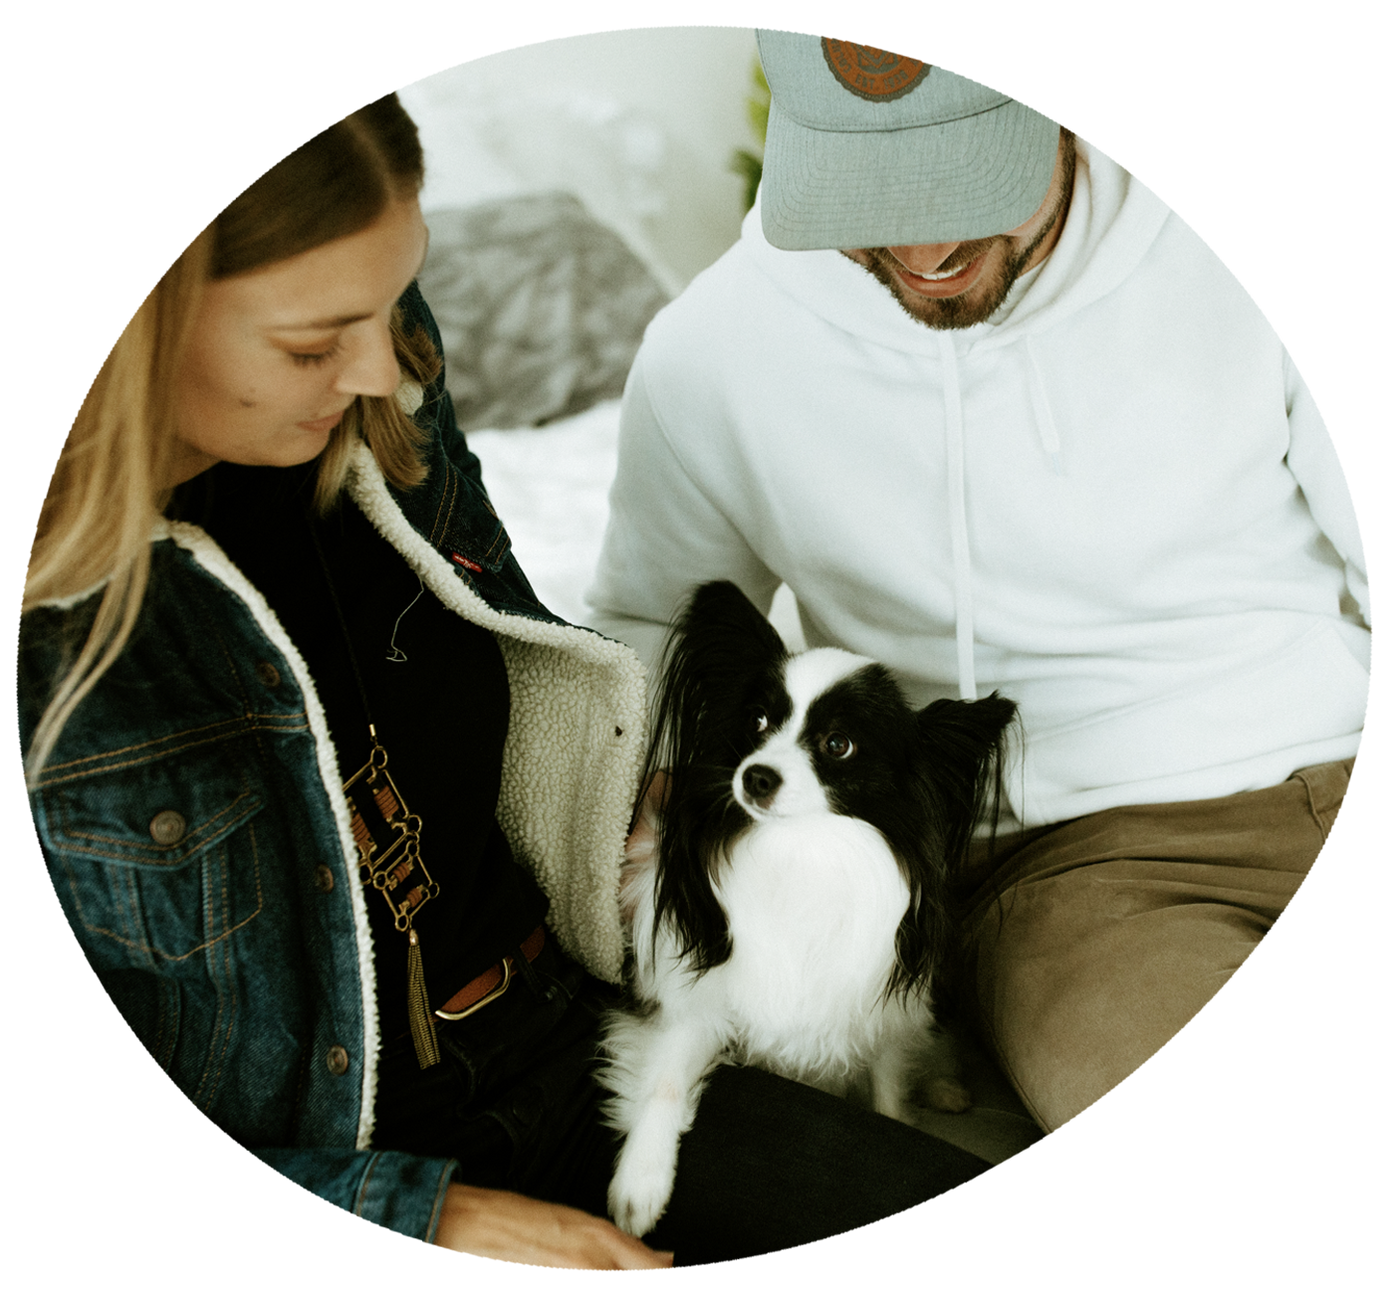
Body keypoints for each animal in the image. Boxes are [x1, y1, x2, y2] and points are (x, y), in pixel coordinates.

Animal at [596, 582, 1013, 1237]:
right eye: (758, 722)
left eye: (838, 745)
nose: (757, 776)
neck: (801, 850)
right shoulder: (696, 1001)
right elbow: (663, 1081)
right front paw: (639, 1186)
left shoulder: (880, 1025)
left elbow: (888, 1100)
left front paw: (900, 1118)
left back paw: (946, 1088)